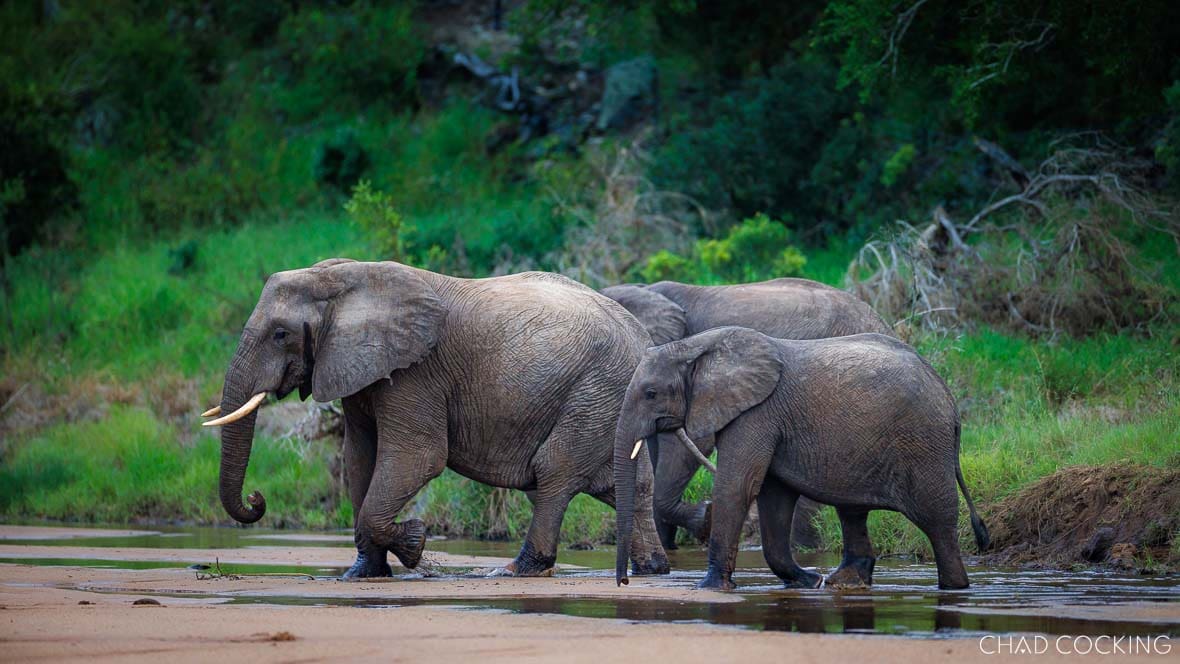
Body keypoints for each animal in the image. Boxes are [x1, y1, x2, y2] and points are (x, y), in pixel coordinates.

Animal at [202, 259, 670, 579]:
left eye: (280, 334)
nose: (257, 499)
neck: (344, 278)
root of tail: (643, 338)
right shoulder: (360, 368)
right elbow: (359, 459)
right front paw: (364, 574)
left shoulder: (416, 373)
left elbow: (417, 458)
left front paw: (415, 542)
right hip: (611, 400)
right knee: (627, 484)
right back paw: (654, 569)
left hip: (596, 392)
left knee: (552, 473)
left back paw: (518, 570)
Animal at [612, 326, 989, 591]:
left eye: (650, 394)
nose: (624, 582)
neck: (694, 345)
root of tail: (949, 398)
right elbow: (774, 497)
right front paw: (808, 581)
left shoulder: (757, 413)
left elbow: (738, 487)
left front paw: (709, 588)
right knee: (852, 510)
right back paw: (840, 582)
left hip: (924, 443)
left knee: (936, 519)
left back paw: (954, 588)